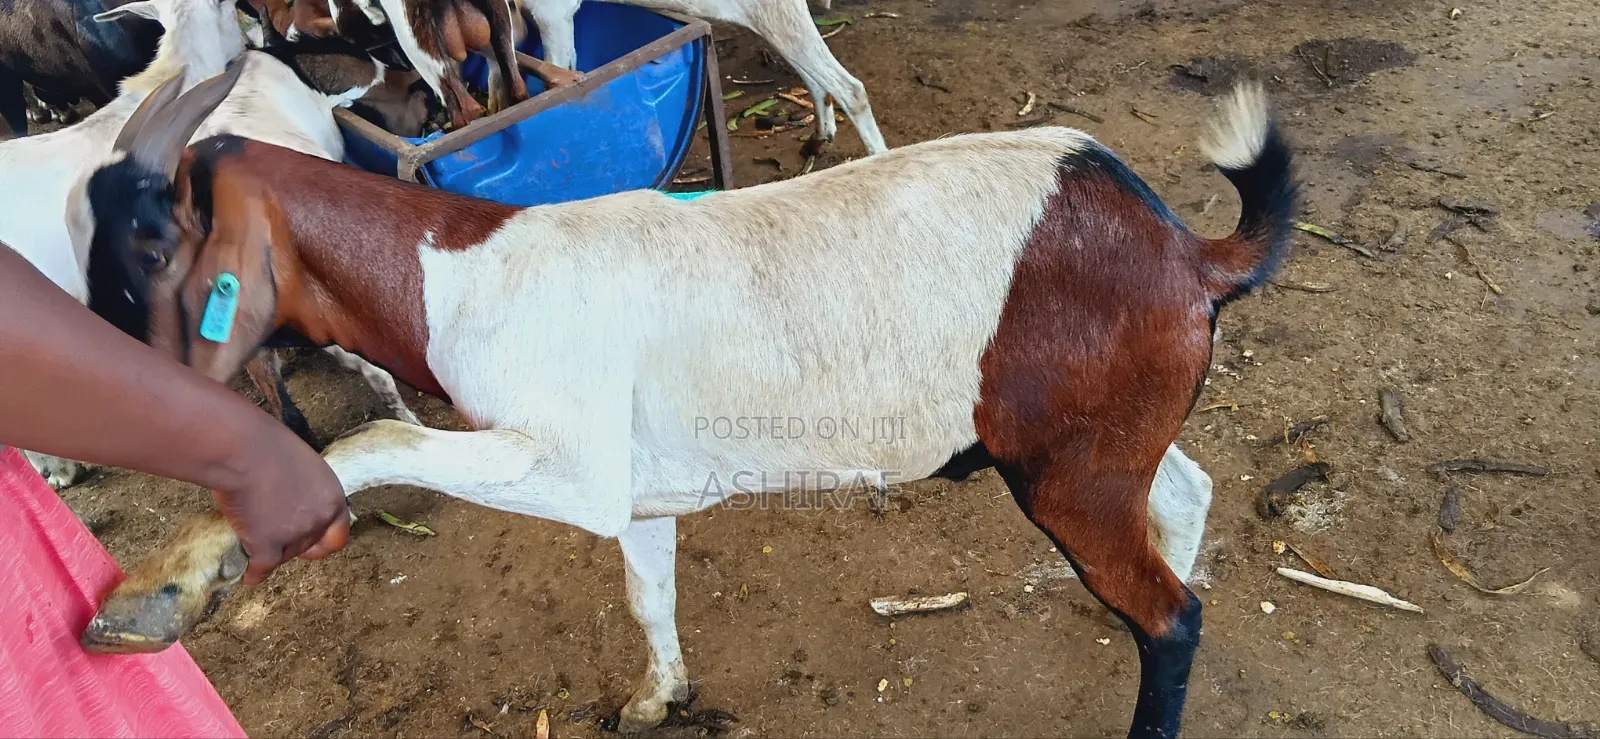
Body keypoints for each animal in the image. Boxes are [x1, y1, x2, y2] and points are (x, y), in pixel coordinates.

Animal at [79, 67, 1293, 738]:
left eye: (150, 243)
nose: (128, 398)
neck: (463, 271)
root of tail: (1185, 253)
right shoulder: (640, 492)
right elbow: (647, 592)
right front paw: (657, 698)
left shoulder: (569, 465)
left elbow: (374, 432)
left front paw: (166, 588)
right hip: (1106, 440)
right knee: (1186, 492)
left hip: (1068, 466)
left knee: (1173, 617)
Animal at [524, 0, 886, 155]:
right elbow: (571, 68)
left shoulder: (550, 10)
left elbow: (556, 74)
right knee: (814, 76)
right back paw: (819, 136)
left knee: (850, 89)